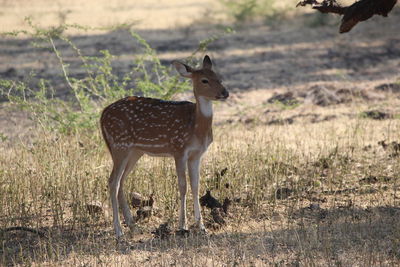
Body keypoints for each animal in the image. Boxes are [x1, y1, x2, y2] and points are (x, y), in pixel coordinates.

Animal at [101, 55, 228, 240]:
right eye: (204, 80)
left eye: (219, 77)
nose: (225, 93)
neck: (196, 126)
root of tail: (102, 114)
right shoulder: (178, 148)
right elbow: (183, 185)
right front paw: (183, 226)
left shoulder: (197, 154)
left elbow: (196, 185)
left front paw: (202, 227)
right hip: (120, 145)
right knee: (112, 181)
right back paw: (119, 231)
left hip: (134, 151)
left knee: (121, 181)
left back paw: (133, 226)